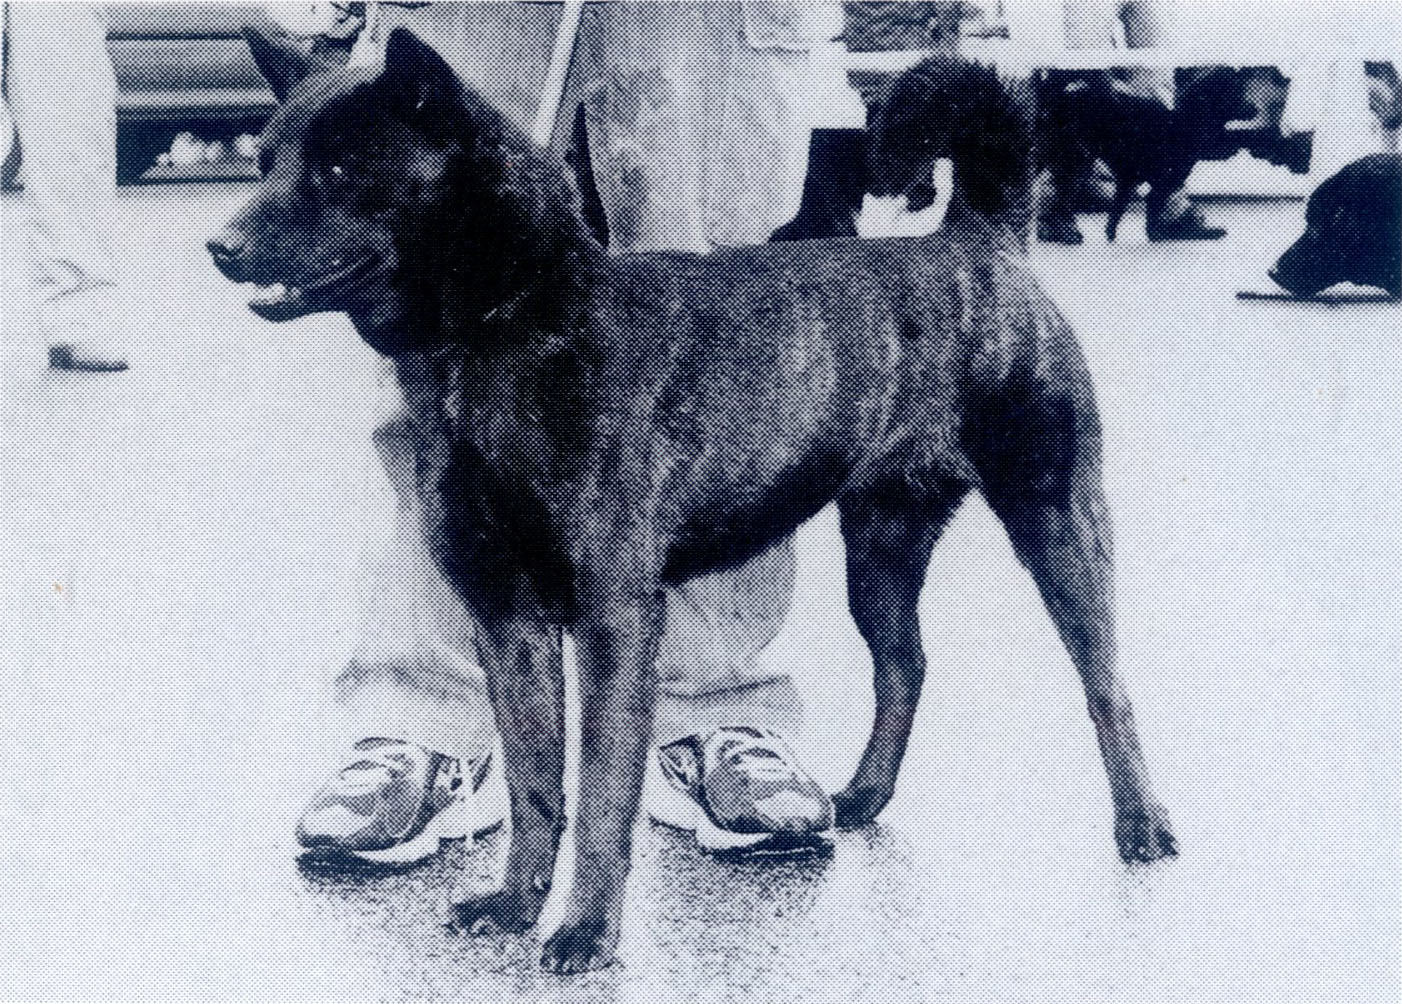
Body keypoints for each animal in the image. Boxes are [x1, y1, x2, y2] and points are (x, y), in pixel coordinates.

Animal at [1040, 66, 1254, 242]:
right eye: (1237, 96)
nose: (1254, 109)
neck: (1182, 124)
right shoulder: (1161, 184)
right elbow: (1150, 215)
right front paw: (1158, 235)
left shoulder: (1130, 181)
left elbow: (1118, 210)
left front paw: (1112, 234)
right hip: (1075, 158)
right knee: (1062, 191)